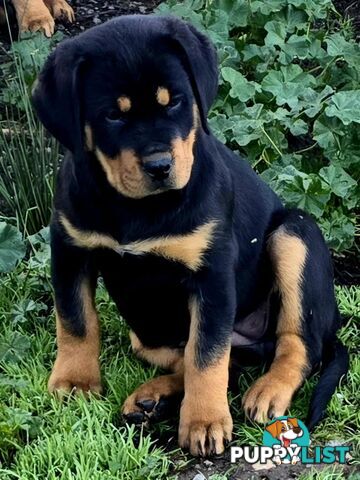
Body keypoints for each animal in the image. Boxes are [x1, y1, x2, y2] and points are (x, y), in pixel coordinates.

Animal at [33, 15, 348, 458]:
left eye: (175, 102)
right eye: (112, 115)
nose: (160, 166)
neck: (138, 209)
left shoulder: (210, 274)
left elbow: (206, 354)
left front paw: (204, 422)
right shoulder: (70, 250)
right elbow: (76, 321)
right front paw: (76, 382)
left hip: (295, 233)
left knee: (296, 345)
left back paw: (268, 390)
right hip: (144, 331)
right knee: (223, 359)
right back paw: (153, 398)